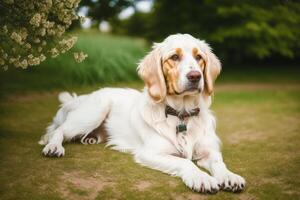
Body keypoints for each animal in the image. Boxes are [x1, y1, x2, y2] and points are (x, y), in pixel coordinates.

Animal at [39, 33, 246, 194]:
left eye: (199, 57)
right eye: (174, 57)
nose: (195, 76)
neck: (181, 114)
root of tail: (83, 97)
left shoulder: (208, 150)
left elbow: (219, 162)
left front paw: (229, 176)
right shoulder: (151, 153)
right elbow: (185, 163)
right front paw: (202, 178)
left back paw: (90, 138)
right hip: (94, 112)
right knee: (58, 131)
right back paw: (54, 147)